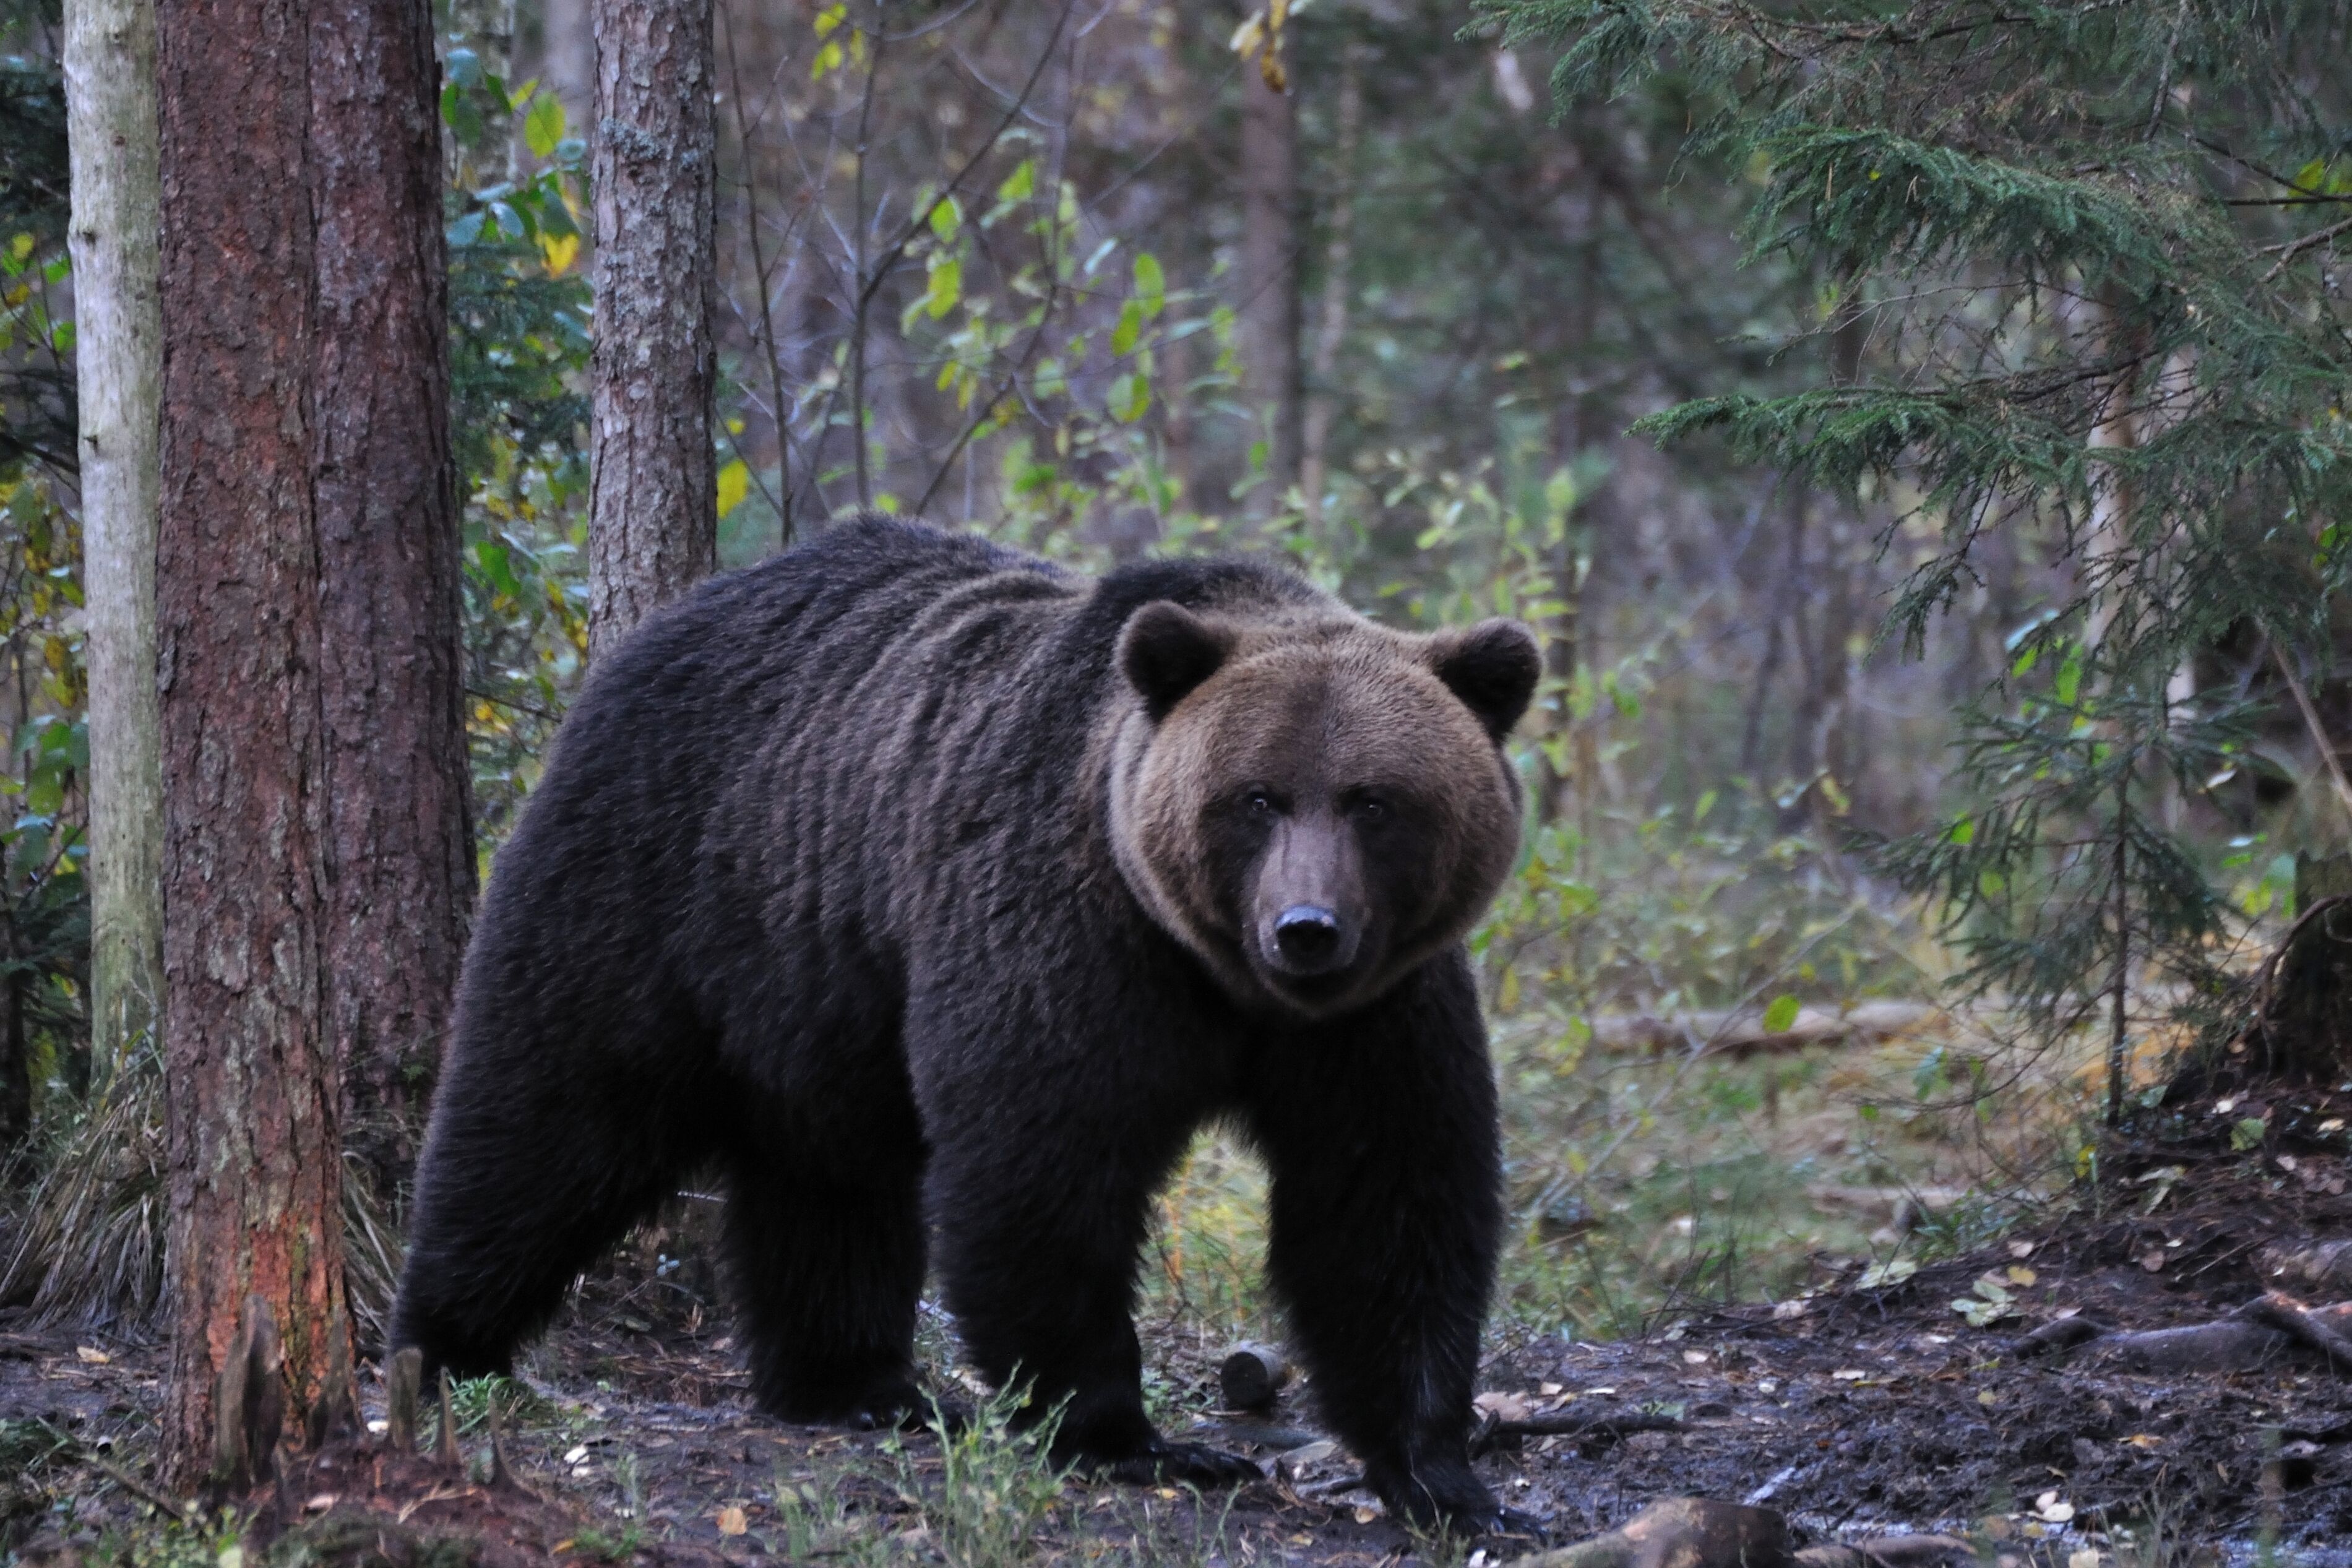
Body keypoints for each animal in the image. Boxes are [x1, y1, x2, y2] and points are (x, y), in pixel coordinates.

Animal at [390, 516, 1540, 1530]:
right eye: (1255, 797)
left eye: (1374, 799)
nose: (1306, 928)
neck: (1219, 977)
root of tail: (658, 627)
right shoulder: (1068, 935)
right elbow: (1042, 1165)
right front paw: (1130, 1435)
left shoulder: (1379, 1010)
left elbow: (1388, 1199)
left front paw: (1445, 1475)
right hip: (654, 883)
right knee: (546, 1116)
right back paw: (441, 1348)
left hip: (818, 981)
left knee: (830, 1177)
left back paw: (859, 1382)